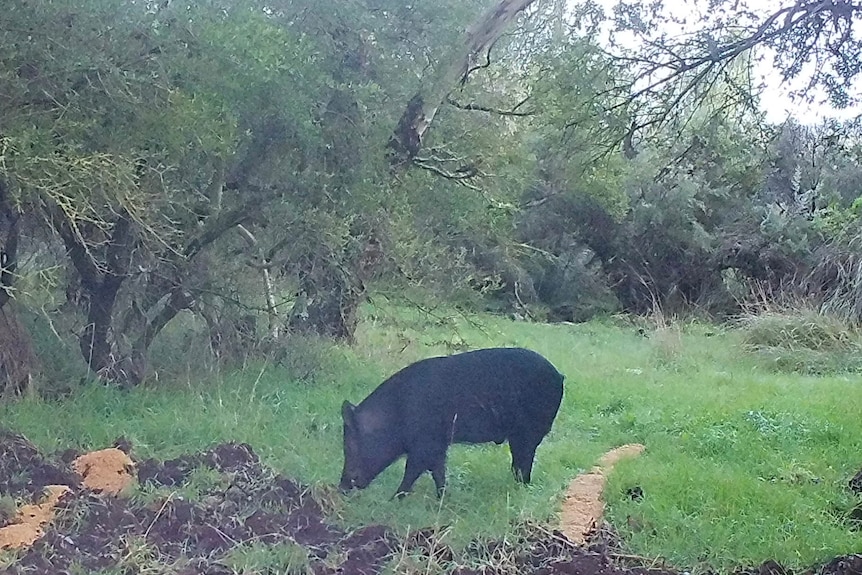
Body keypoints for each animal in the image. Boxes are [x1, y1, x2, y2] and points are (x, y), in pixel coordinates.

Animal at [338, 346, 568, 500]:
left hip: (529, 431)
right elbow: (438, 471)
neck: (396, 415)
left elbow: (412, 471)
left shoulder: (425, 443)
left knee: (523, 462)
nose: (341, 488)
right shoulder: (438, 445)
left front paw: (393, 500)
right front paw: (442, 498)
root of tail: (559, 375)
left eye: (349, 446)